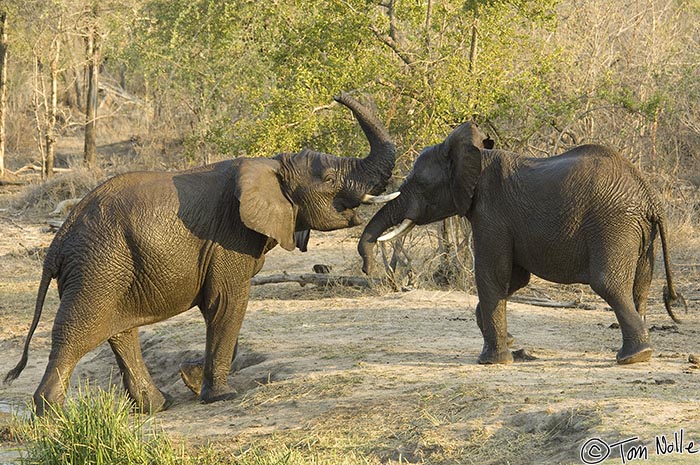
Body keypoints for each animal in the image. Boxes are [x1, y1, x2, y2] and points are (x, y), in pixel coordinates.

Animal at [5, 90, 396, 414]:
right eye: (329, 179)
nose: (336, 96)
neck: (271, 164)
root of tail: (59, 239)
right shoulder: (228, 238)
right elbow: (228, 303)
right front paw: (220, 395)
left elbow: (224, 310)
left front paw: (190, 378)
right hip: (99, 263)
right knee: (77, 332)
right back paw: (53, 416)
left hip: (111, 267)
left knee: (120, 331)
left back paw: (157, 405)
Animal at [358, 120, 688, 366]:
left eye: (420, 183)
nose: (367, 267)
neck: (478, 157)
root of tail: (649, 195)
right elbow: (514, 279)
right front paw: (509, 343)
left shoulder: (491, 213)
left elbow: (493, 274)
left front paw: (492, 361)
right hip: (639, 233)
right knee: (640, 286)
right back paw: (638, 352)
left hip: (613, 224)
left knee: (608, 283)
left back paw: (633, 357)